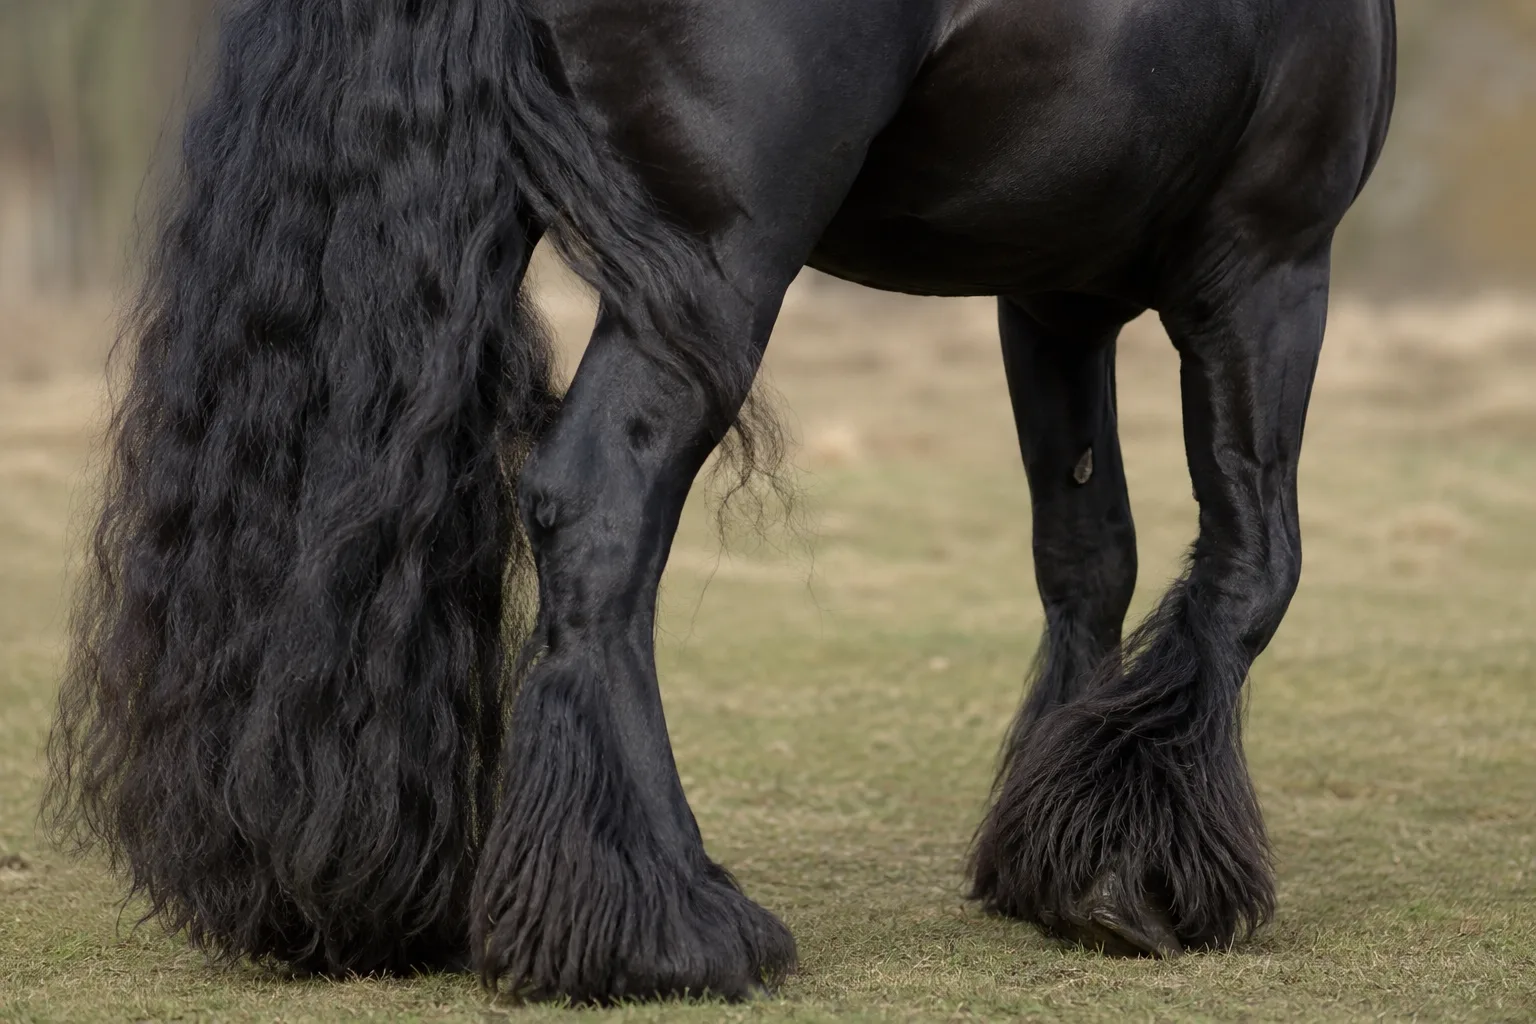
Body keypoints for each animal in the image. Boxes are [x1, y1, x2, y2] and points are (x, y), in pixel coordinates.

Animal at [44, 0, 1397, 1004]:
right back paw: (661, 927)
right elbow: (1252, 564)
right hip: (711, 264)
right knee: (598, 511)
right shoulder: (1265, 264)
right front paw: (1140, 875)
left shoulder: (1054, 295)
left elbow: (1086, 557)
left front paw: (1052, 856)